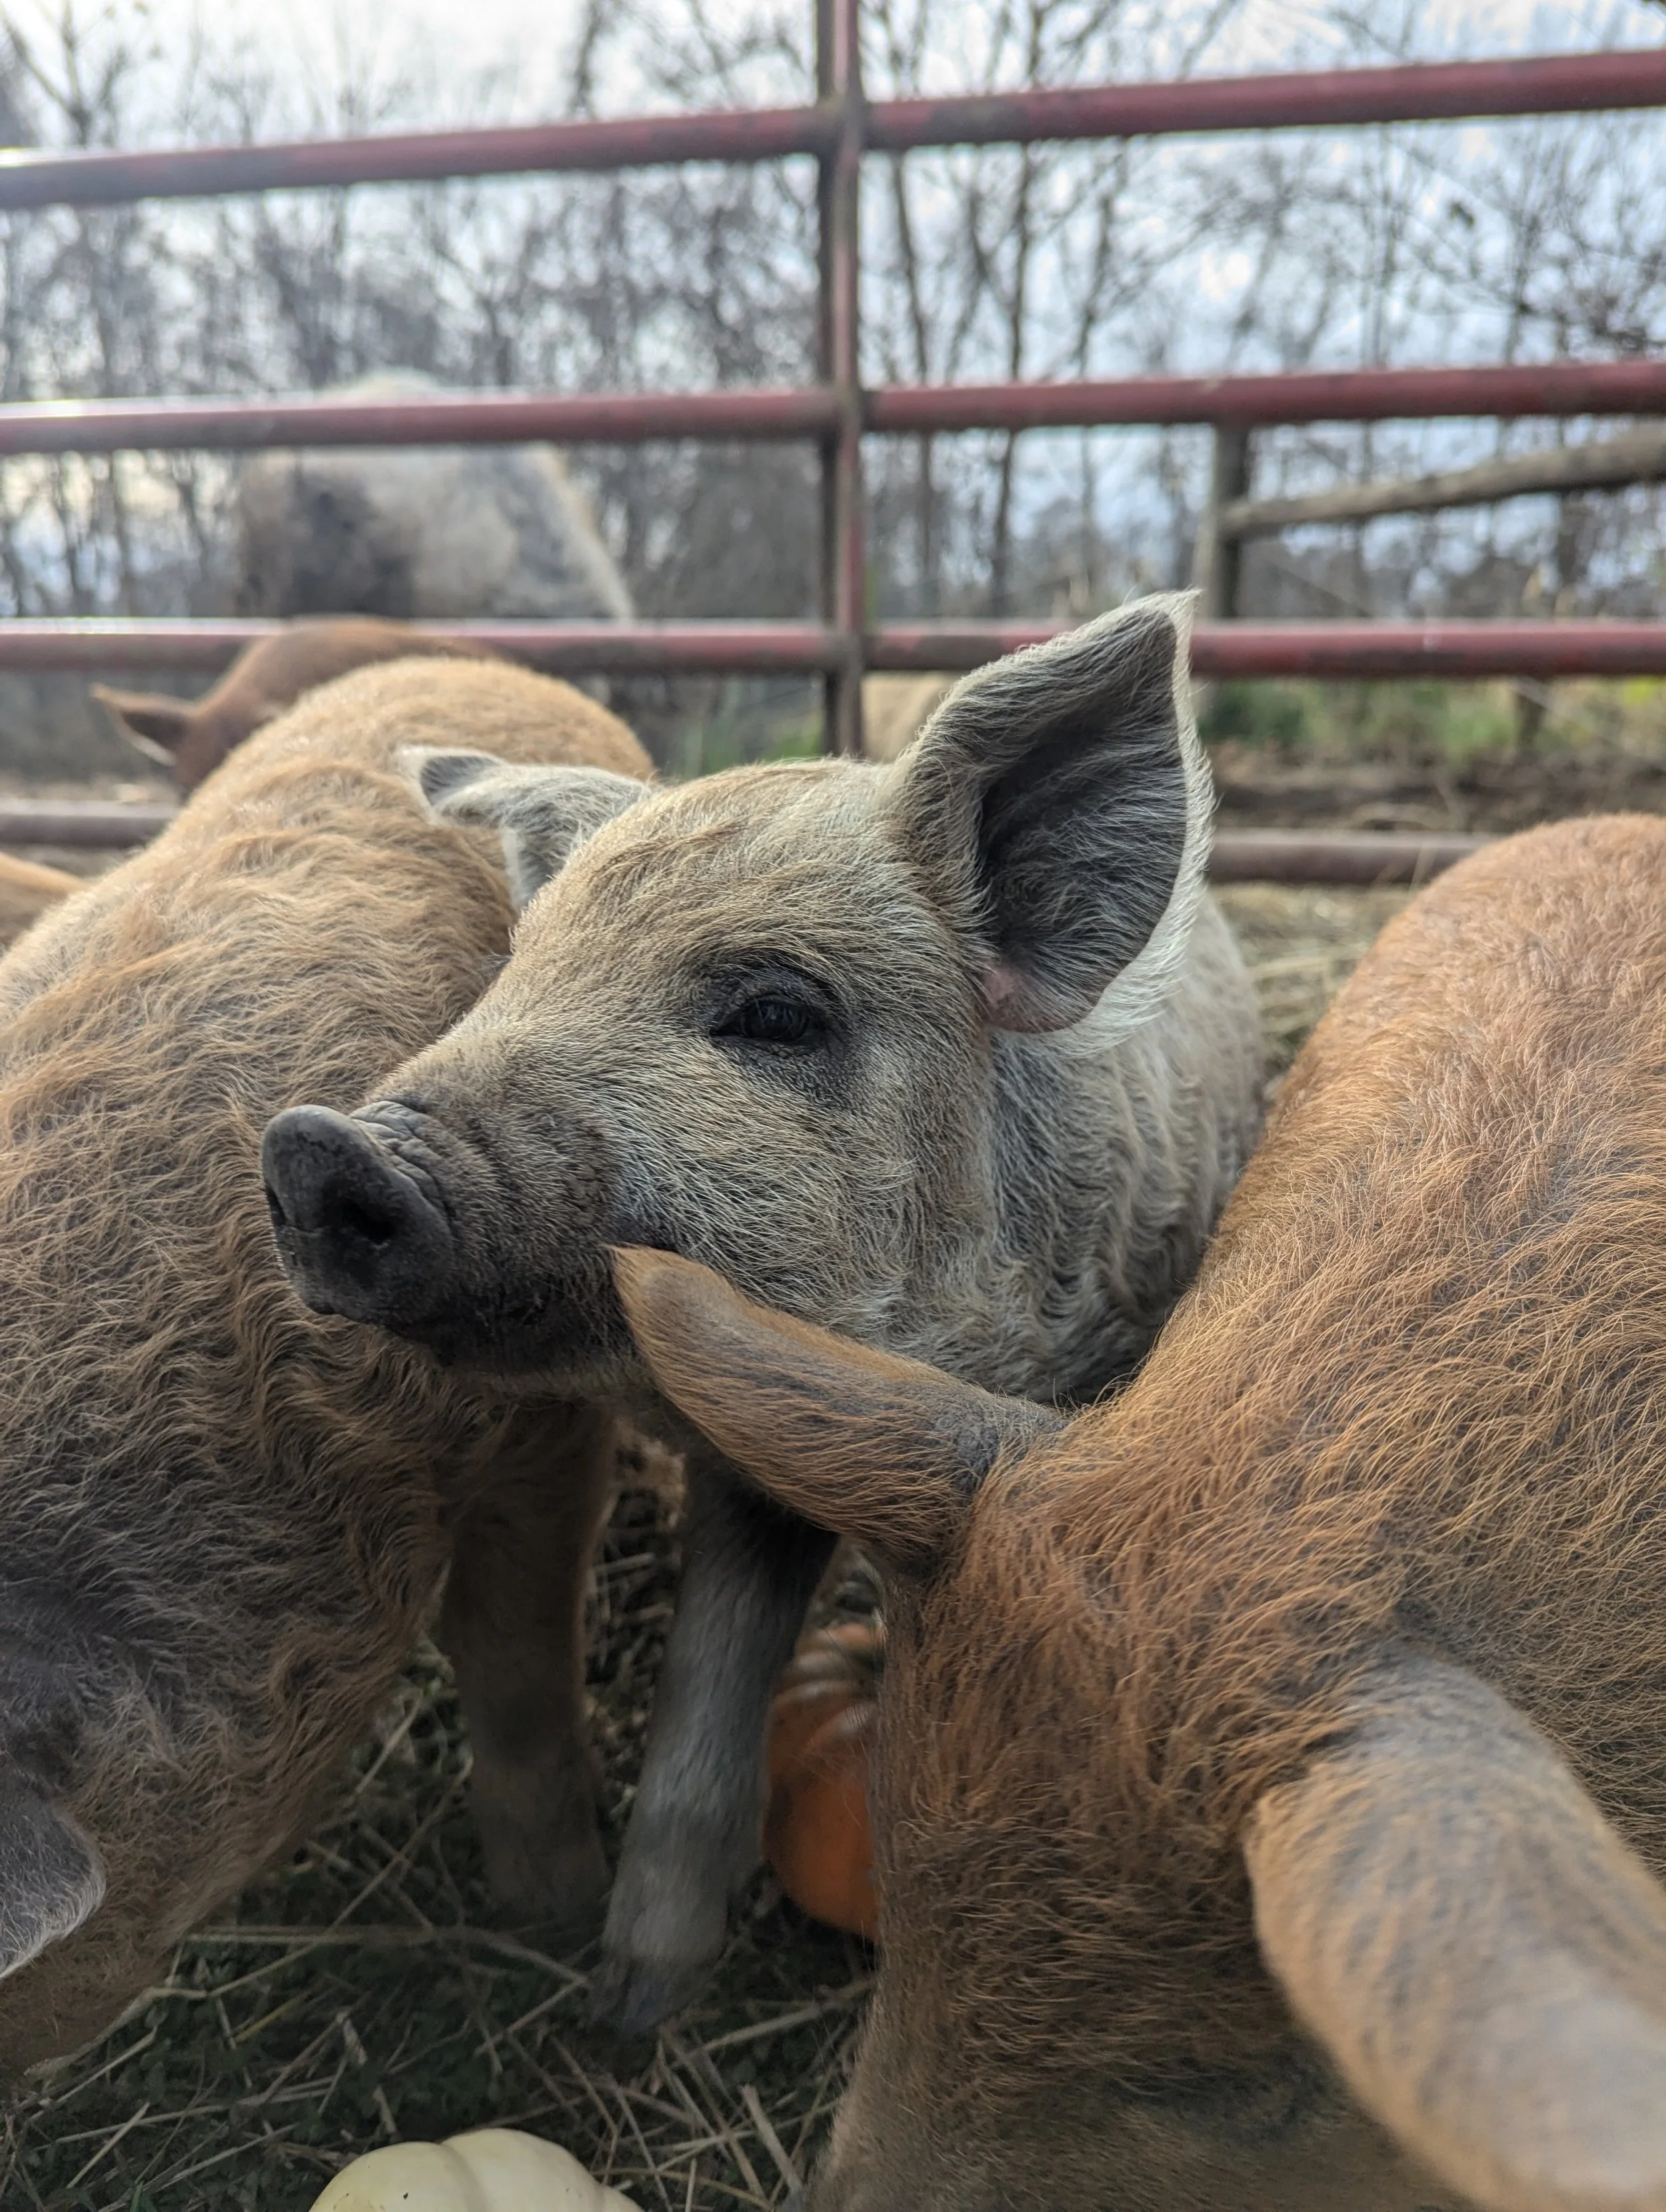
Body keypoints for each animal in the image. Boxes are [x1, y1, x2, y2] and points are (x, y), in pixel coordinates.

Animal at [258, 594, 1266, 2032]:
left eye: (779, 1012)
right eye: (518, 973)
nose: (318, 1146)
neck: (938, 1350)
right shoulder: (742, 1460)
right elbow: (707, 1683)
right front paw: (632, 2007)